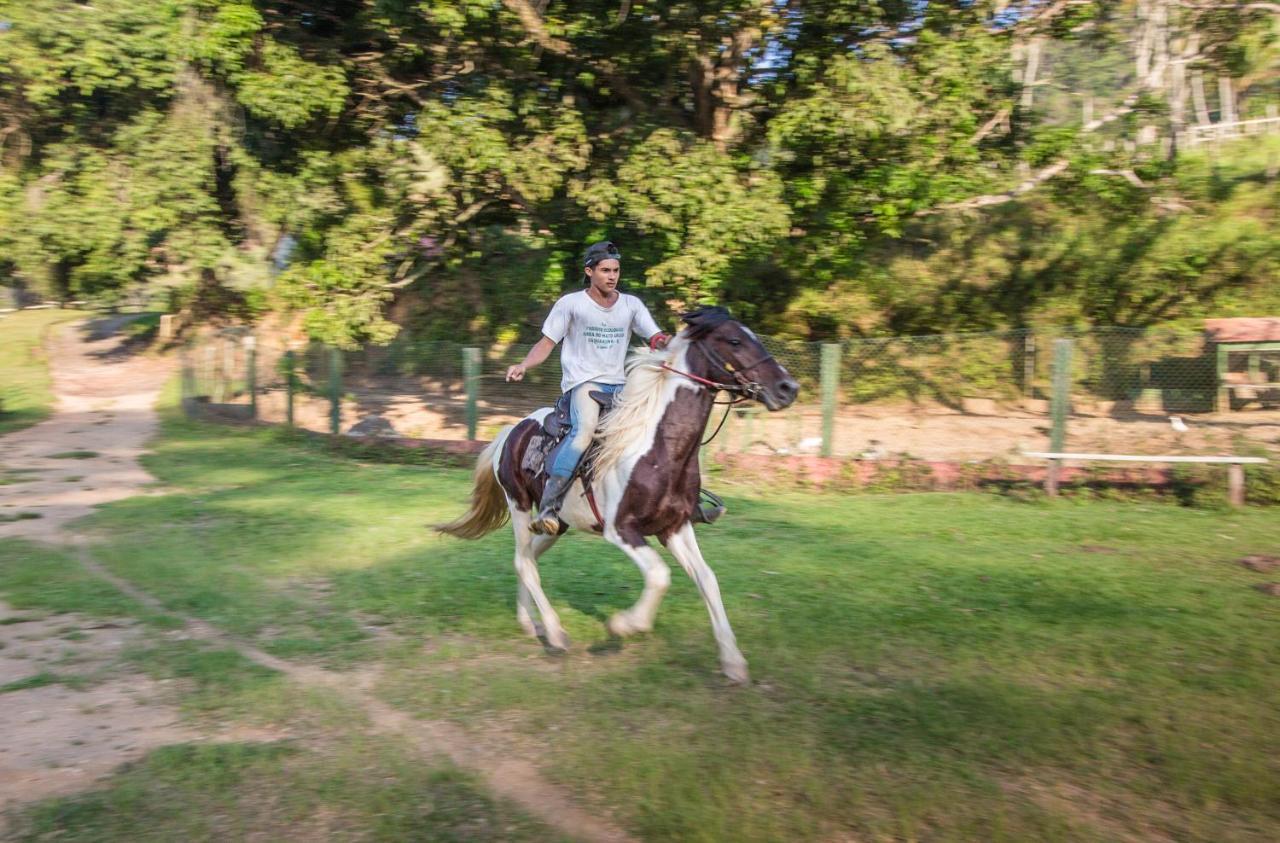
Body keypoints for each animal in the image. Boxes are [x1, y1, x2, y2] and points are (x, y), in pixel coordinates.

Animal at [440, 307, 798, 680]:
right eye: (734, 340)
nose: (788, 388)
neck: (659, 448)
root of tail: (511, 430)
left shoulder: (675, 527)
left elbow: (707, 579)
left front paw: (733, 661)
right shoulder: (622, 530)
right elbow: (659, 575)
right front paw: (625, 625)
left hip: (557, 524)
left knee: (529, 559)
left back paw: (530, 623)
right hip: (520, 507)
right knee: (523, 562)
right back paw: (555, 632)